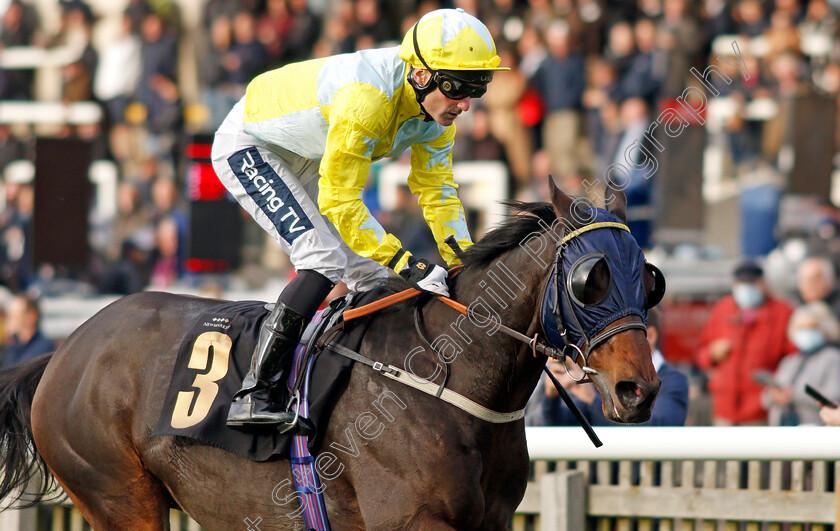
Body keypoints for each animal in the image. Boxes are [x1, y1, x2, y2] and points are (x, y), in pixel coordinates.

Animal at [0, 184, 664, 531]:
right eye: (591, 279)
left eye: (649, 279)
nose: (639, 390)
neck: (449, 379)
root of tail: (65, 350)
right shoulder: (412, 521)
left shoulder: (491, 521)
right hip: (118, 495)